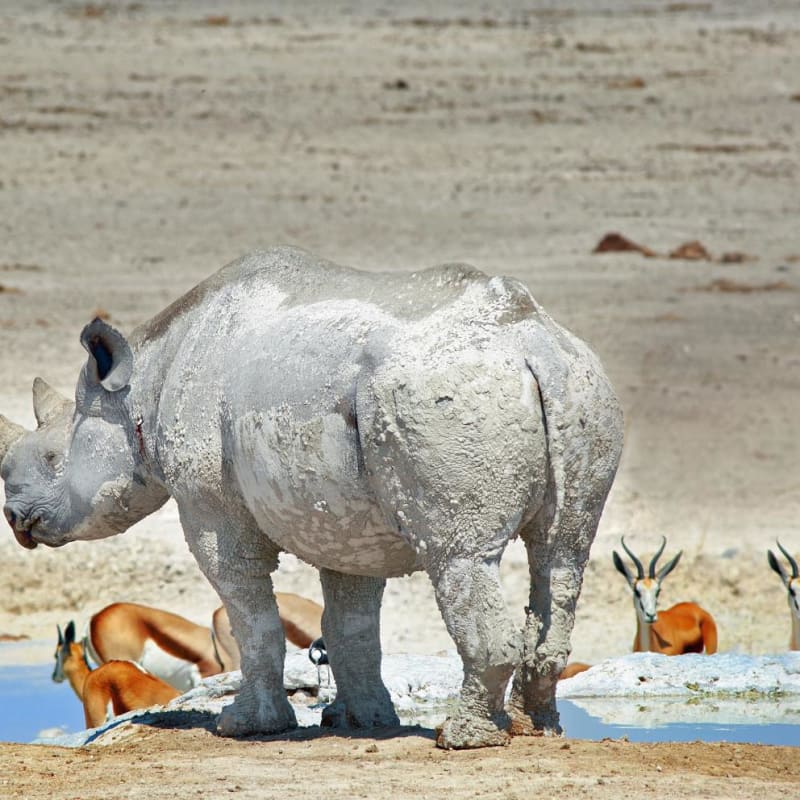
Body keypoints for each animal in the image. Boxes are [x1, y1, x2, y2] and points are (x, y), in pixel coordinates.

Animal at [0, 246, 623, 749]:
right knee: (563, 553)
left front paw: (245, 725)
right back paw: (534, 727)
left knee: (460, 556)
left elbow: (251, 615)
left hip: (446, 397)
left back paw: (464, 738)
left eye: (52, 458)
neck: (139, 388)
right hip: (583, 385)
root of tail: (532, 339)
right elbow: (350, 623)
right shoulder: (346, 520)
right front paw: (359, 720)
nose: (15, 519)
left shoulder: (211, 509)